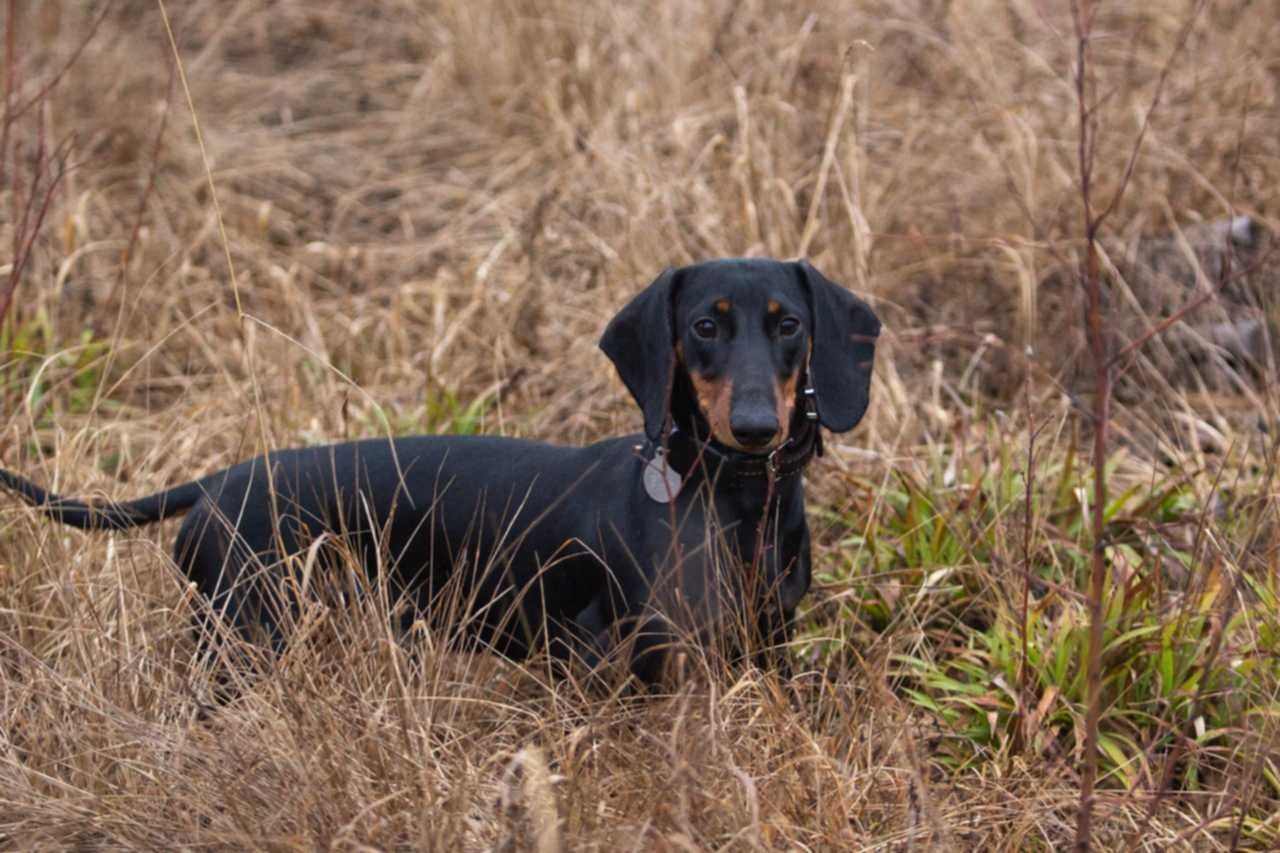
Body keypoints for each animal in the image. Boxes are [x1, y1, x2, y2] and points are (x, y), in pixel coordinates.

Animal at [0, 256, 875, 681]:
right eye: (704, 326)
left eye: (789, 325)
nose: (756, 427)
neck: (733, 497)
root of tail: (216, 484)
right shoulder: (606, 655)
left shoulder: (765, 642)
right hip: (243, 634)